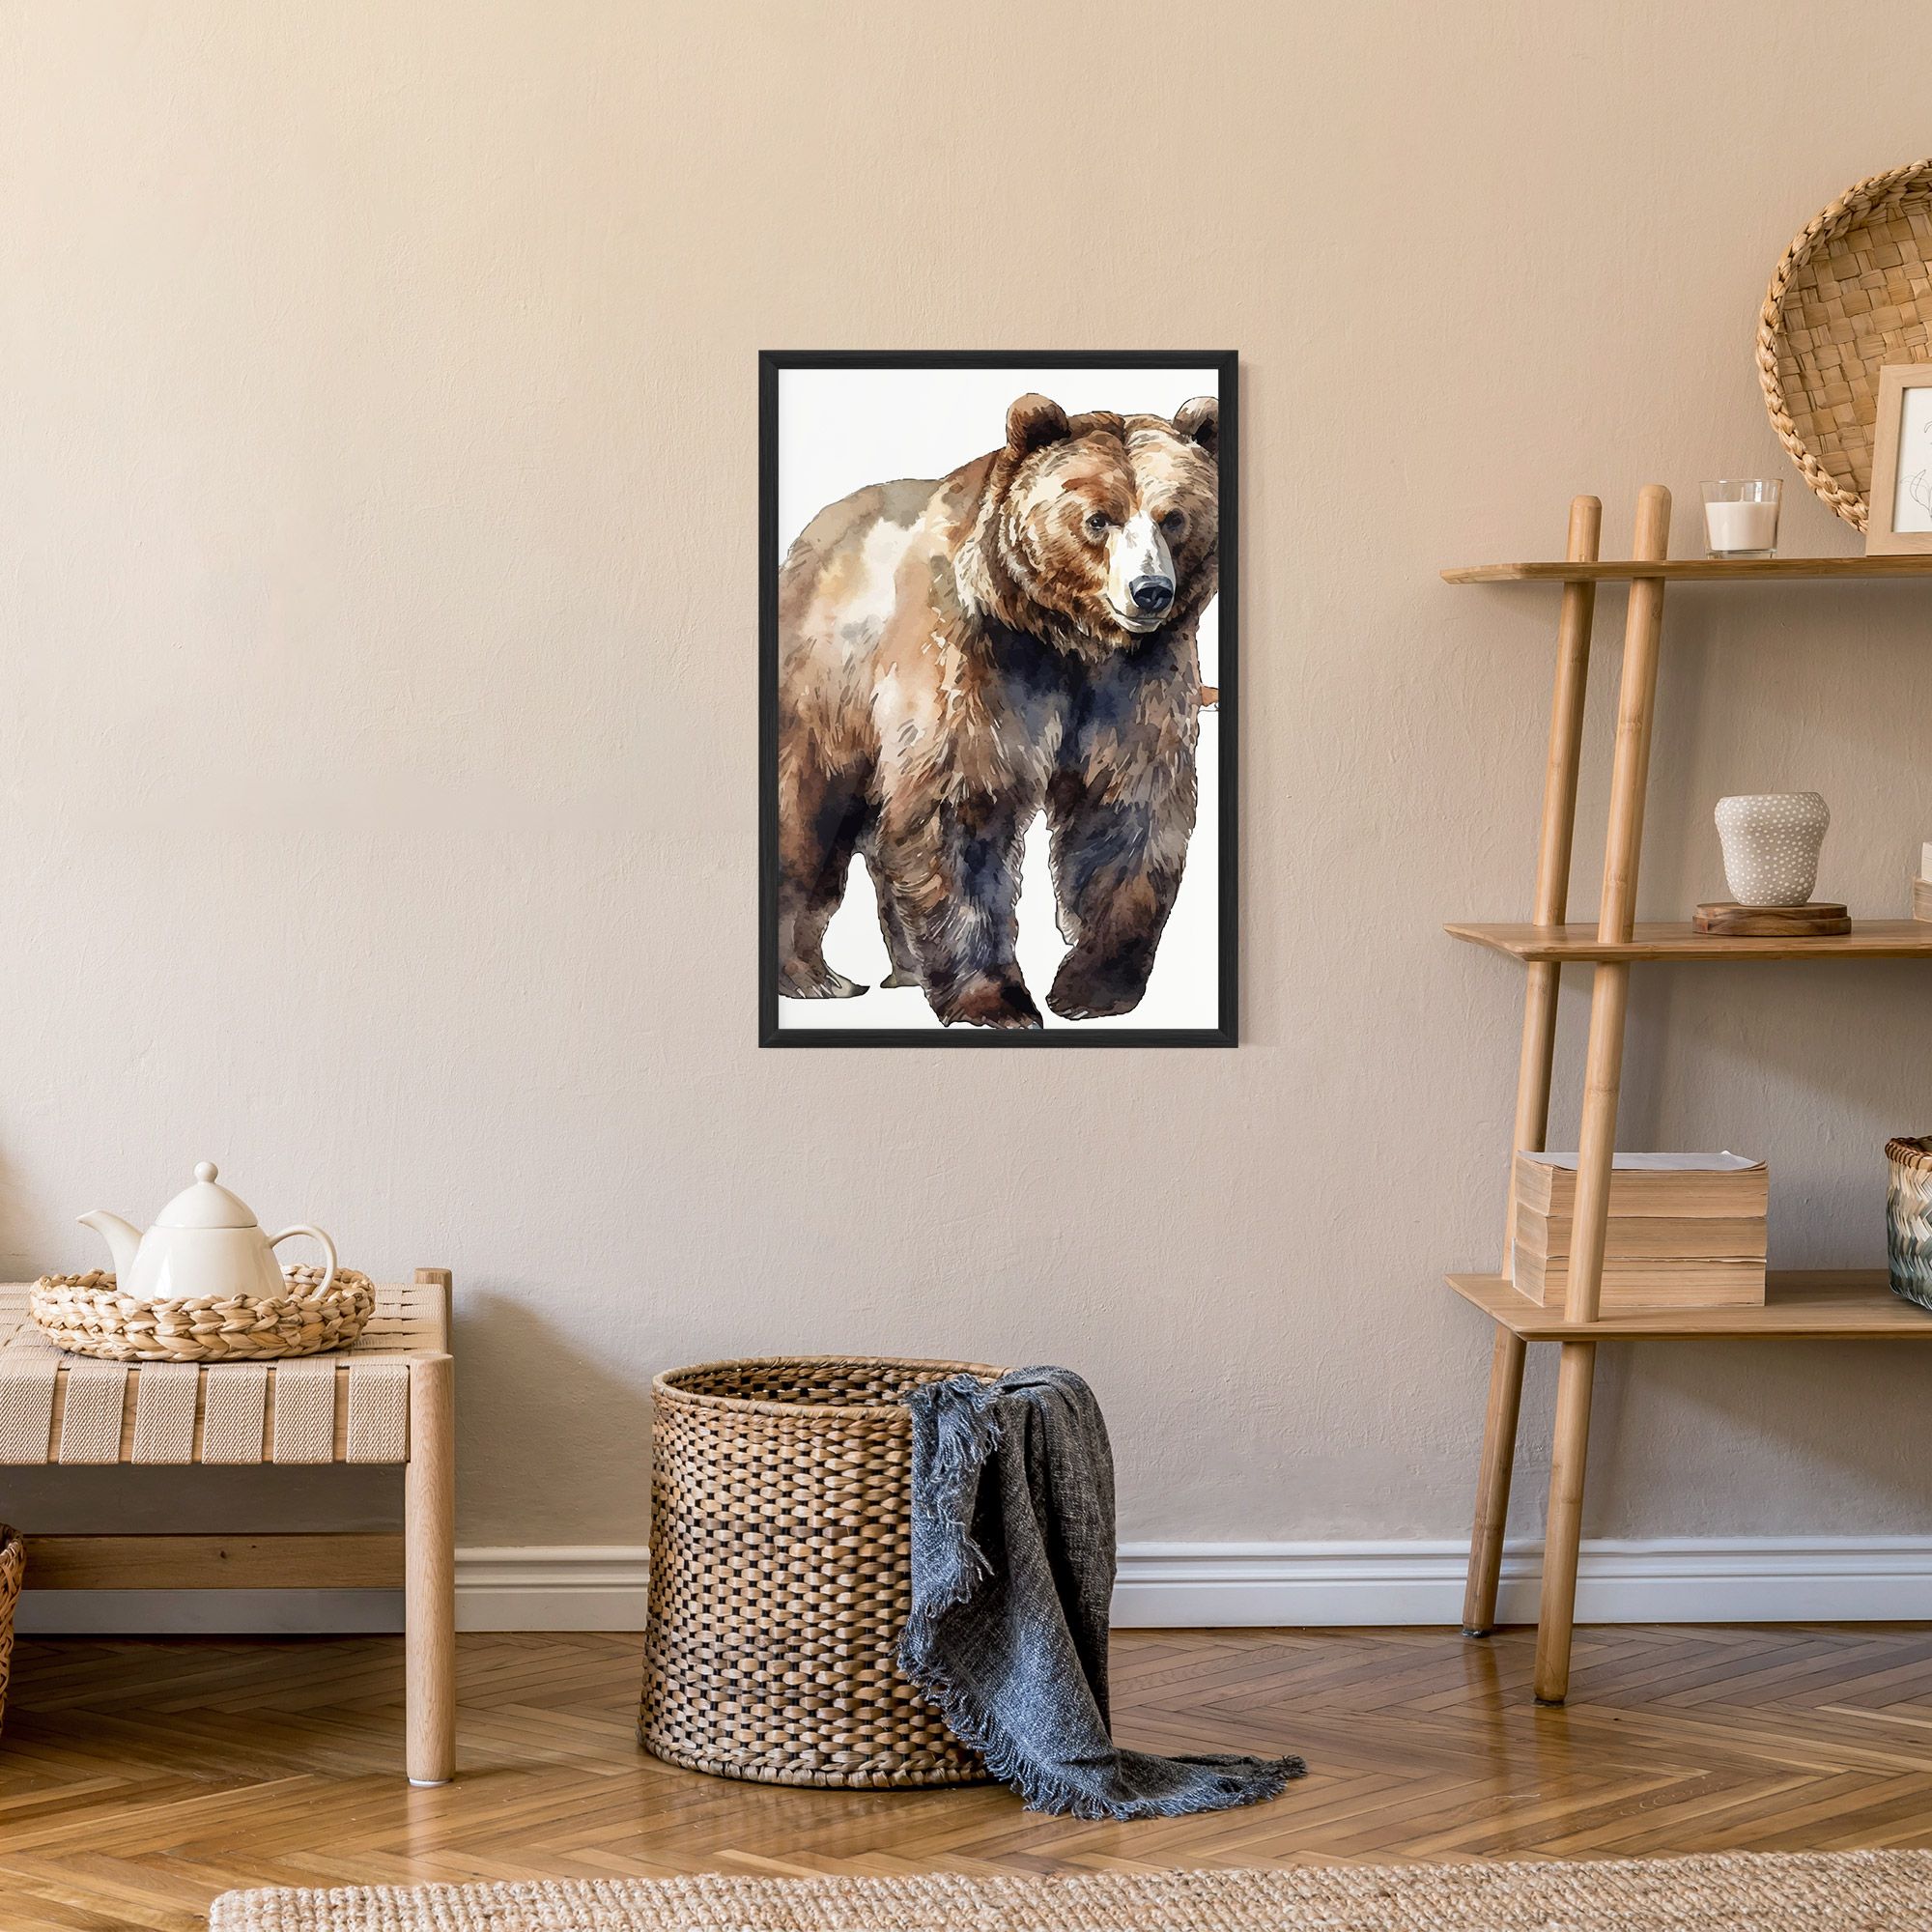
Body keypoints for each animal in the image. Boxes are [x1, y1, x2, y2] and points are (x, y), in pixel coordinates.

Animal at [775, 391, 1219, 1029]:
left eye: (1173, 517)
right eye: (1099, 519)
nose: (1150, 591)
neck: (1070, 639)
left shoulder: (1136, 681)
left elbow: (1126, 810)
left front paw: (1091, 988)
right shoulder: (978, 660)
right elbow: (963, 809)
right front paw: (996, 1001)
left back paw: (906, 969)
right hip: (827, 690)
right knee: (810, 812)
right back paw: (813, 976)